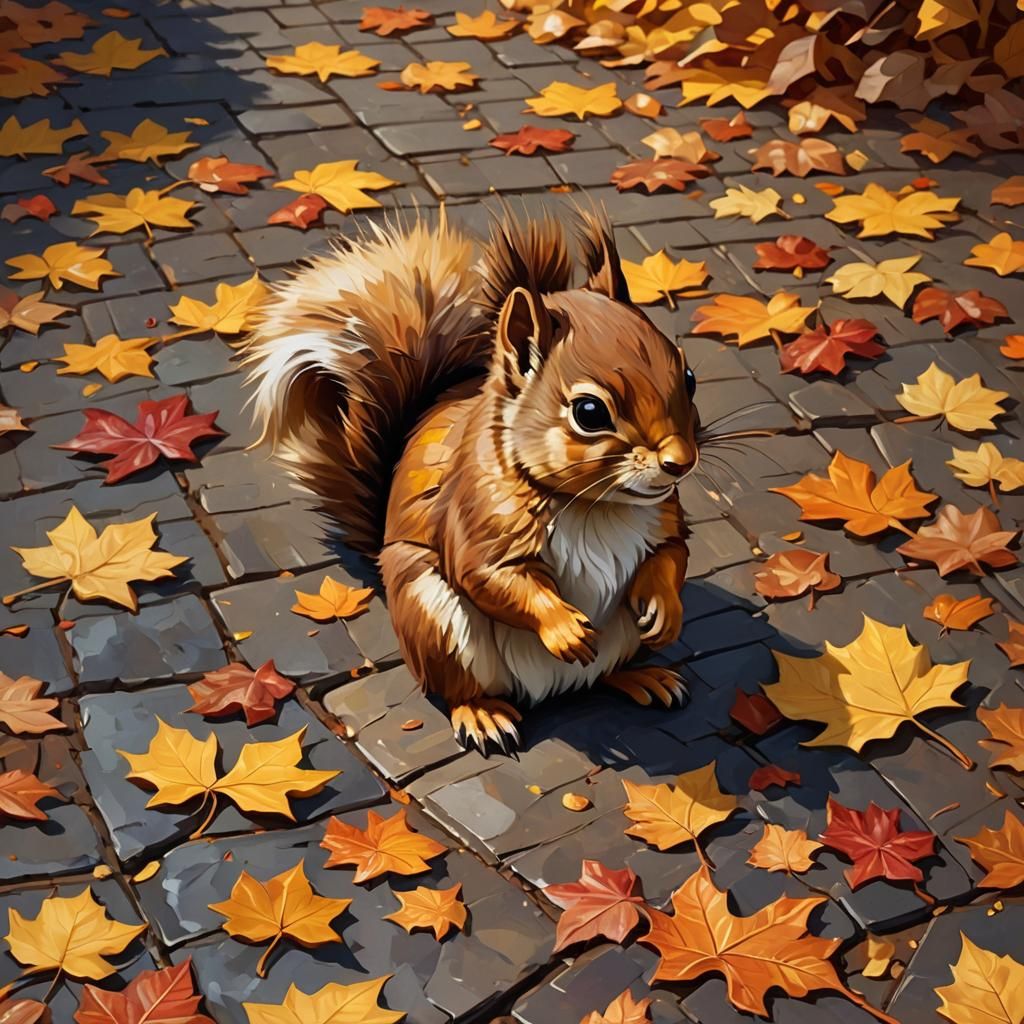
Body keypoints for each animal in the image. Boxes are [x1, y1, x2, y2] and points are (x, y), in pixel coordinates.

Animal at [244, 208, 699, 755]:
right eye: (589, 412)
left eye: (690, 378)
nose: (680, 462)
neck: (596, 504)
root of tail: (553, 689)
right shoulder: (477, 517)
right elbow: (490, 577)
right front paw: (563, 627)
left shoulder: (665, 517)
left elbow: (672, 554)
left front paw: (666, 610)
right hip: (435, 622)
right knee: (459, 687)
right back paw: (483, 714)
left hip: (618, 640)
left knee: (603, 674)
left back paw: (644, 677)